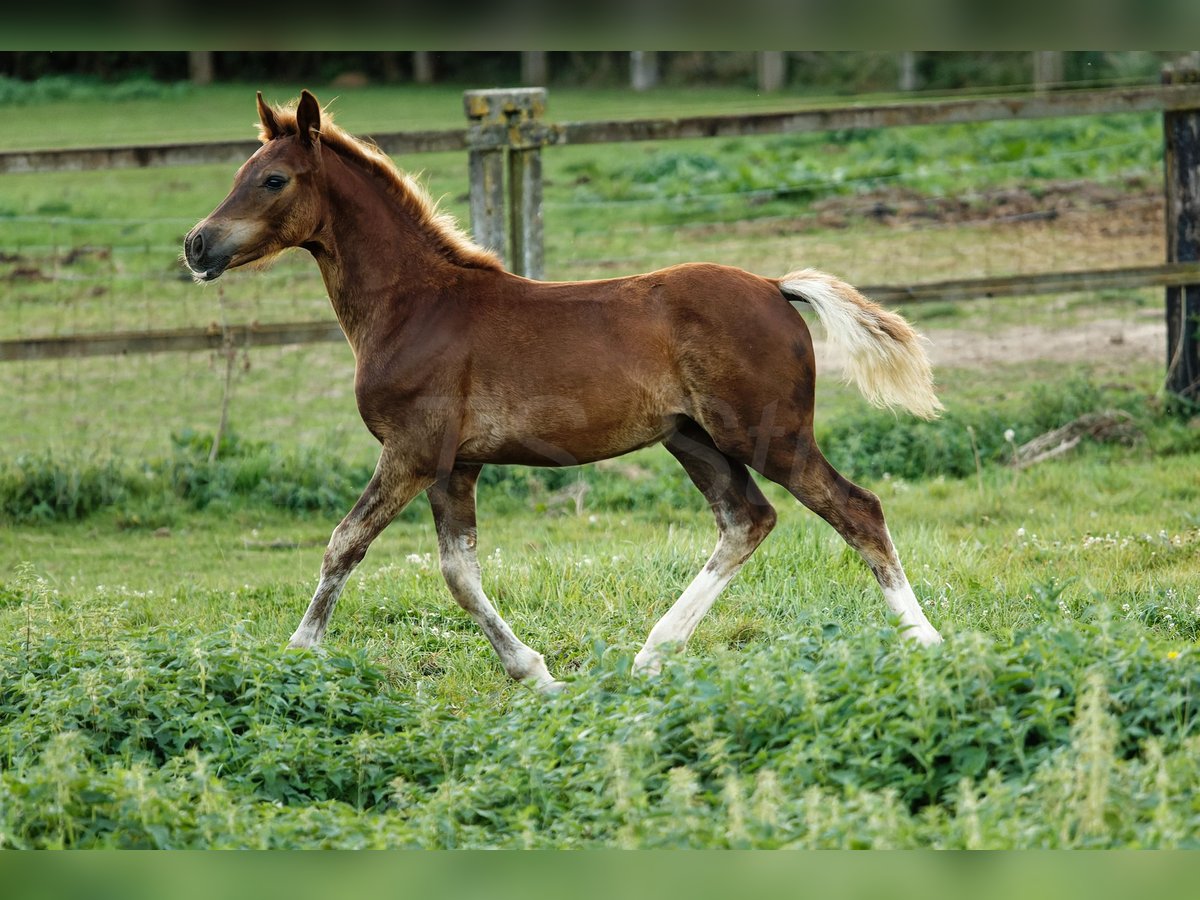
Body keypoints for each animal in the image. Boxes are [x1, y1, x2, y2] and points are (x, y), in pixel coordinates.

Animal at [182, 93, 940, 691]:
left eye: (273, 178)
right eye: (239, 173)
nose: (197, 246)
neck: (416, 304)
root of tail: (774, 286)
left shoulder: (413, 452)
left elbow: (345, 544)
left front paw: (297, 656)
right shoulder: (455, 465)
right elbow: (459, 573)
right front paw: (536, 675)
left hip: (768, 434)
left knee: (857, 509)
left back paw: (927, 643)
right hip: (692, 438)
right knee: (747, 520)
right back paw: (651, 653)